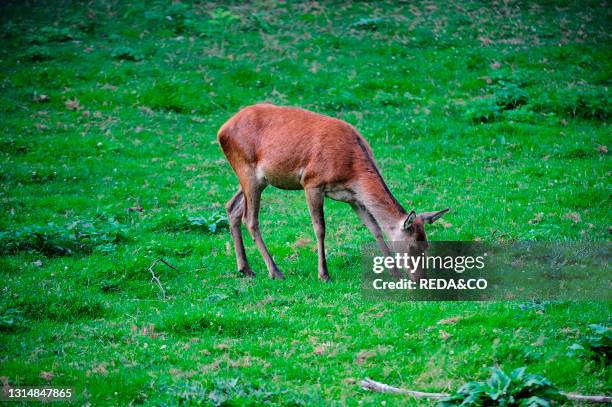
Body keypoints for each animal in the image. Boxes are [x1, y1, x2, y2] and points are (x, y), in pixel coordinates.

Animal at [218, 103, 448, 282]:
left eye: (427, 245)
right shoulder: (311, 183)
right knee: (250, 218)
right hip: (247, 170)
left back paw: (245, 268)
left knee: (232, 207)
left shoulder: (355, 198)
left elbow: (374, 228)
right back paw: (275, 271)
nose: (420, 279)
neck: (351, 169)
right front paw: (324, 274)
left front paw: (395, 273)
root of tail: (222, 130)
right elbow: (320, 228)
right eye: (412, 247)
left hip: (256, 179)